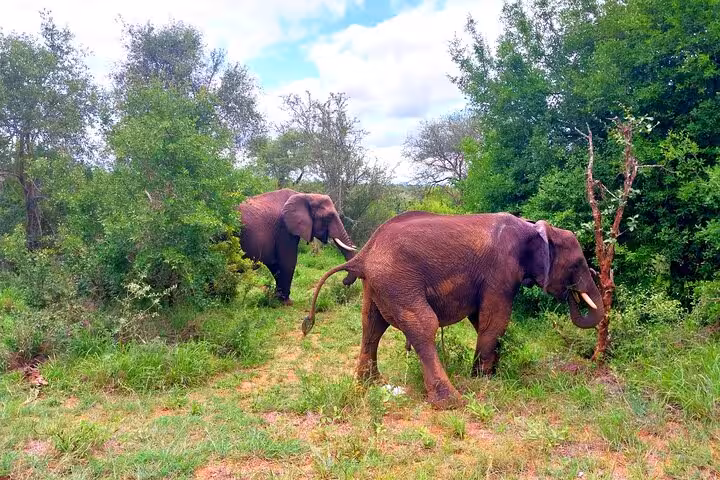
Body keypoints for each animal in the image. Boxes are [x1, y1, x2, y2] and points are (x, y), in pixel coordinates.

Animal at [301, 211, 603, 408]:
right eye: (577, 264)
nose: (572, 293)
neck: (533, 229)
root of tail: (364, 254)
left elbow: (482, 319)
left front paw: (491, 374)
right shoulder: (500, 271)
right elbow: (495, 319)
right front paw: (482, 380)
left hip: (379, 284)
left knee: (371, 327)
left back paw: (371, 384)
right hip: (398, 282)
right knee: (423, 326)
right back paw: (451, 402)